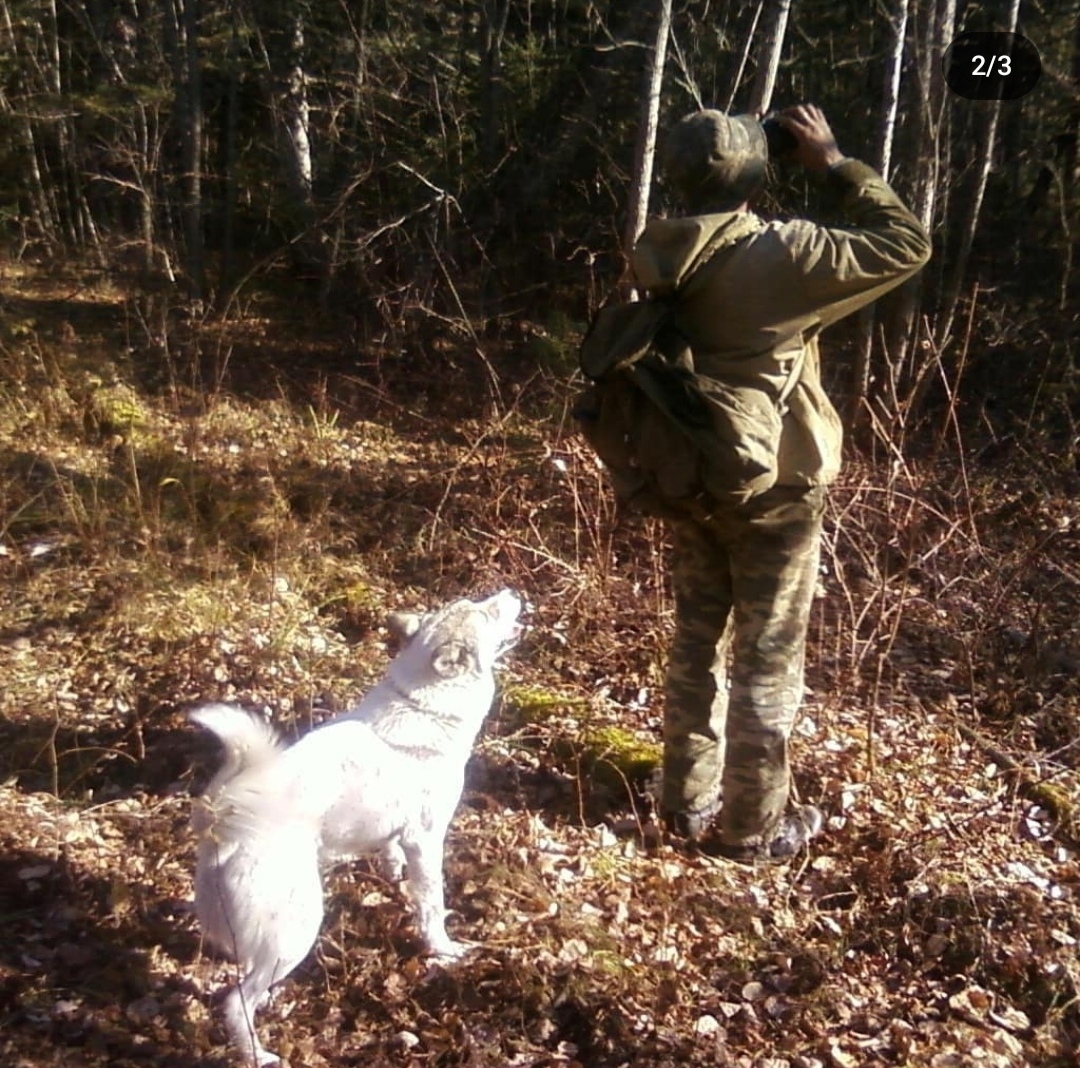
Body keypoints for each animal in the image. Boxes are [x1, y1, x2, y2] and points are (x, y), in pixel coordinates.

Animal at [190, 587, 522, 1062]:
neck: (425, 704)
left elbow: (392, 853)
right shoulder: (427, 840)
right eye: (487, 611)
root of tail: (227, 816)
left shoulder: (400, 833)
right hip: (294, 932)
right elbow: (431, 906)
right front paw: (443, 950)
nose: (511, 592)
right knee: (236, 1001)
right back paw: (258, 1054)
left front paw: (392, 871)